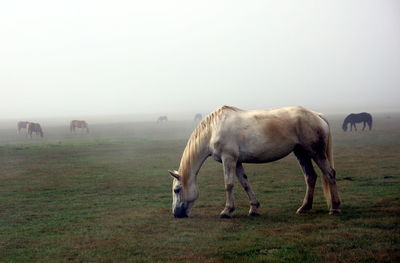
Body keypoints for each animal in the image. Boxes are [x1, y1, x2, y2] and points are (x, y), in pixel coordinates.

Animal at [169, 106, 340, 220]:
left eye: (177, 190)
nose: (176, 214)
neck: (213, 130)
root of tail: (317, 115)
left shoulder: (228, 159)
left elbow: (229, 184)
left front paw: (226, 211)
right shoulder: (237, 162)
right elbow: (245, 183)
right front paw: (254, 209)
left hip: (316, 153)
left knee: (330, 174)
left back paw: (335, 208)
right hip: (301, 153)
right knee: (310, 177)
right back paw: (304, 207)